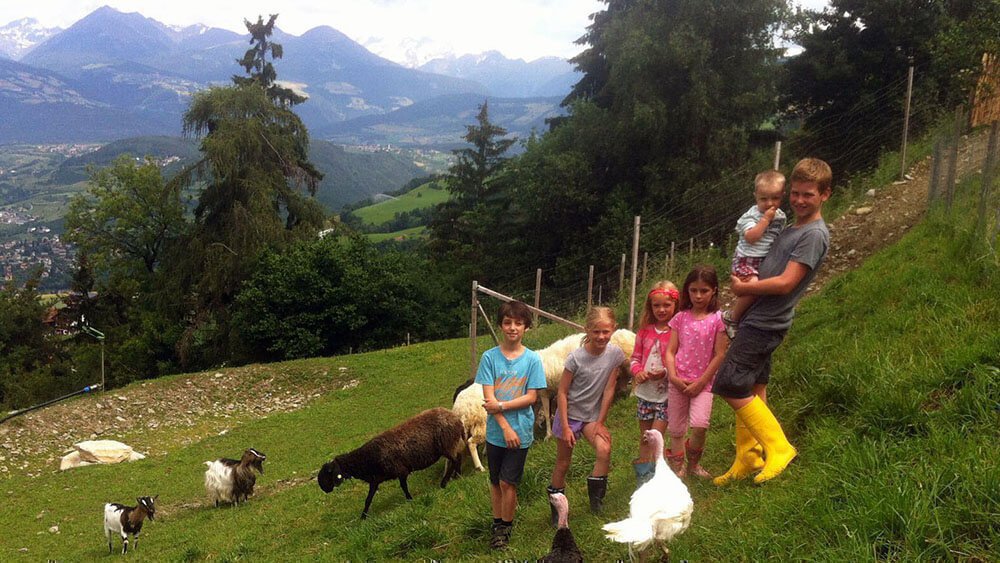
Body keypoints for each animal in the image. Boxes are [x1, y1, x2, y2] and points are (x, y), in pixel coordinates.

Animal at [316, 406, 464, 520]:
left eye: (328, 473)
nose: (325, 489)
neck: (366, 459)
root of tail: (455, 417)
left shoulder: (400, 470)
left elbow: (403, 487)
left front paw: (410, 499)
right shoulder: (375, 480)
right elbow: (368, 499)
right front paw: (363, 517)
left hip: (446, 444)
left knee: (455, 461)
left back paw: (444, 483)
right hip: (450, 444)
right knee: (458, 459)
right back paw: (457, 476)